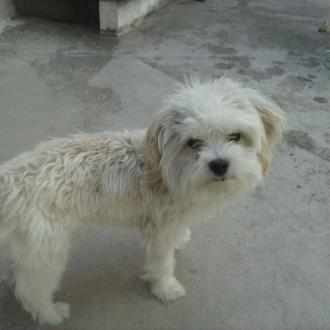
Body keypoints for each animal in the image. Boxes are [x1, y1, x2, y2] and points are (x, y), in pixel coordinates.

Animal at [0, 78, 284, 324]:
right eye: (193, 142)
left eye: (235, 136)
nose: (219, 165)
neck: (169, 171)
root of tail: (11, 177)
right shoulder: (159, 230)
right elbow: (163, 263)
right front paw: (166, 288)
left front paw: (180, 240)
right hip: (49, 250)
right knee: (30, 289)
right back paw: (49, 314)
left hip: (33, 247)